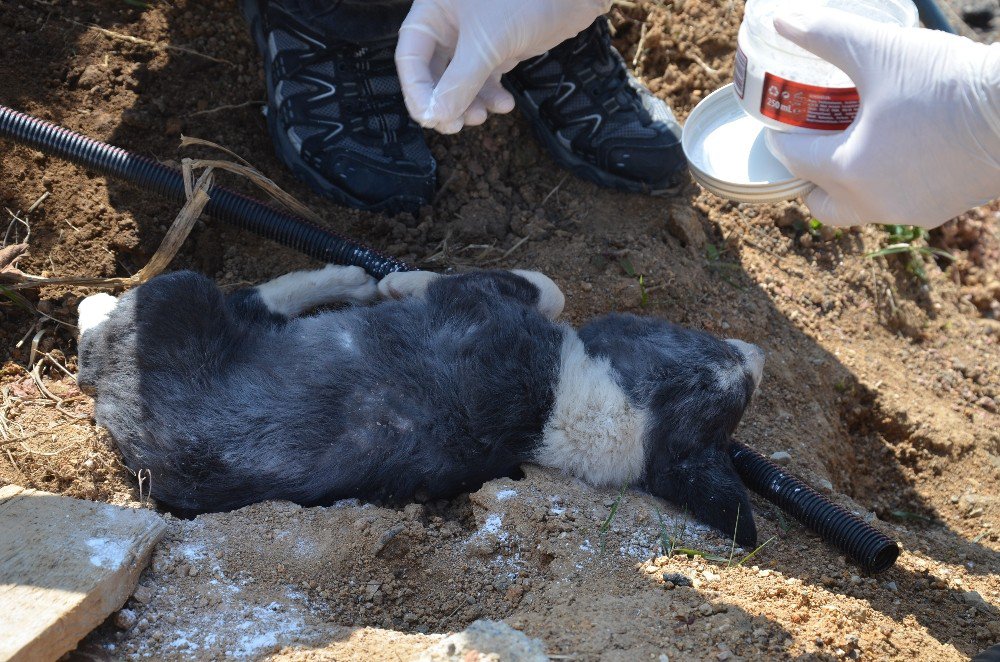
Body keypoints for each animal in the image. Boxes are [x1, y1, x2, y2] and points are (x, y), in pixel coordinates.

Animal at [78, 268, 764, 548]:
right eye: (688, 336)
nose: (758, 356)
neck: (557, 412)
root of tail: (114, 409)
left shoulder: (478, 301)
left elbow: (541, 288)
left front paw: (397, 281)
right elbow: (550, 289)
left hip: (179, 296)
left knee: (114, 333)